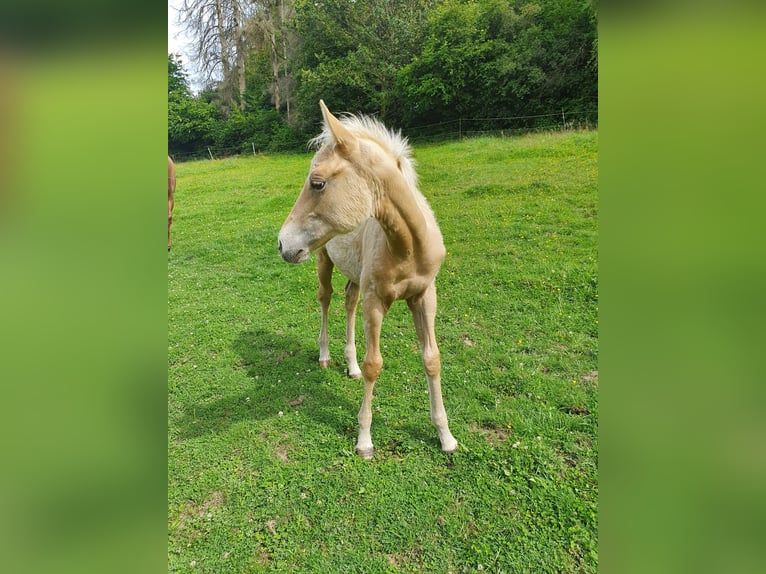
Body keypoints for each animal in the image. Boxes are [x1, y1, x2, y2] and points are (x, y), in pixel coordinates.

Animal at [280, 99, 460, 460]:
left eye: (317, 183)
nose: (282, 243)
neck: (408, 247)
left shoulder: (425, 296)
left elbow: (432, 359)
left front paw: (446, 437)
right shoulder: (376, 300)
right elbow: (374, 363)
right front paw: (364, 440)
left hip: (355, 277)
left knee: (349, 302)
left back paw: (350, 367)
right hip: (322, 259)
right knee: (325, 299)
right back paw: (325, 356)